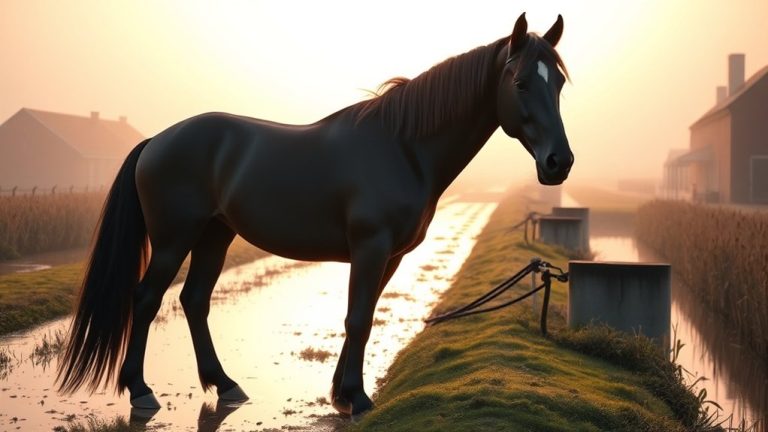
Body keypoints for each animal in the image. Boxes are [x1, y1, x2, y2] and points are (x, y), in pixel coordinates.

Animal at [56, 12, 572, 416]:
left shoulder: (390, 257)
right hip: (173, 239)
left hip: (214, 236)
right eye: (521, 83)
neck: (403, 147)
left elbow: (363, 314)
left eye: (560, 83)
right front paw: (356, 398)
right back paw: (141, 392)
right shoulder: (370, 248)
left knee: (194, 301)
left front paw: (341, 394)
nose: (559, 163)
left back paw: (226, 385)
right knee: (146, 299)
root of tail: (156, 141)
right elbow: (358, 319)